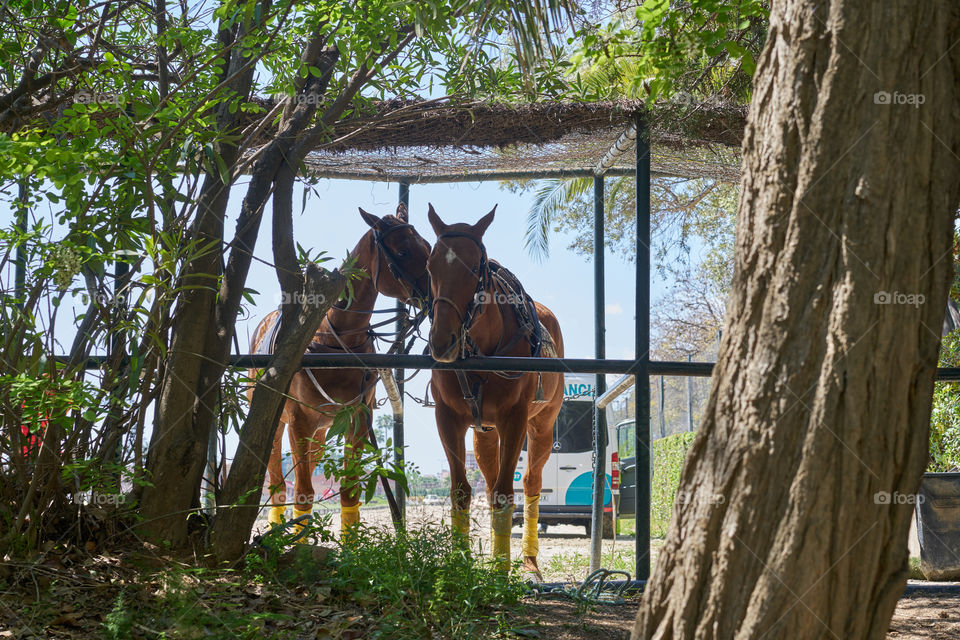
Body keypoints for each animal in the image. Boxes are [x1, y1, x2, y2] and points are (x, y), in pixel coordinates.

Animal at [249, 204, 430, 528]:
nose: (435, 293)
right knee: (279, 488)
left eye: (428, 246)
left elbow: (349, 492)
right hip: (275, 424)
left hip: (321, 433)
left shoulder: (358, 418)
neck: (334, 339)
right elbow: (303, 494)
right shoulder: (299, 421)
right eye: (403, 251)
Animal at [426, 205, 564, 580]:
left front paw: (502, 572)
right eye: (430, 265)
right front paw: (460, 564)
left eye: (476, 267)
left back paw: (529, 564)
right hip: (484, 433)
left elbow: (506, 493)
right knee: (487, 486)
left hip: (541, 427)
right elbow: (462, 492)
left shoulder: (514, 420)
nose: (441, 341)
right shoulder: (448, 419)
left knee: (530, 484)